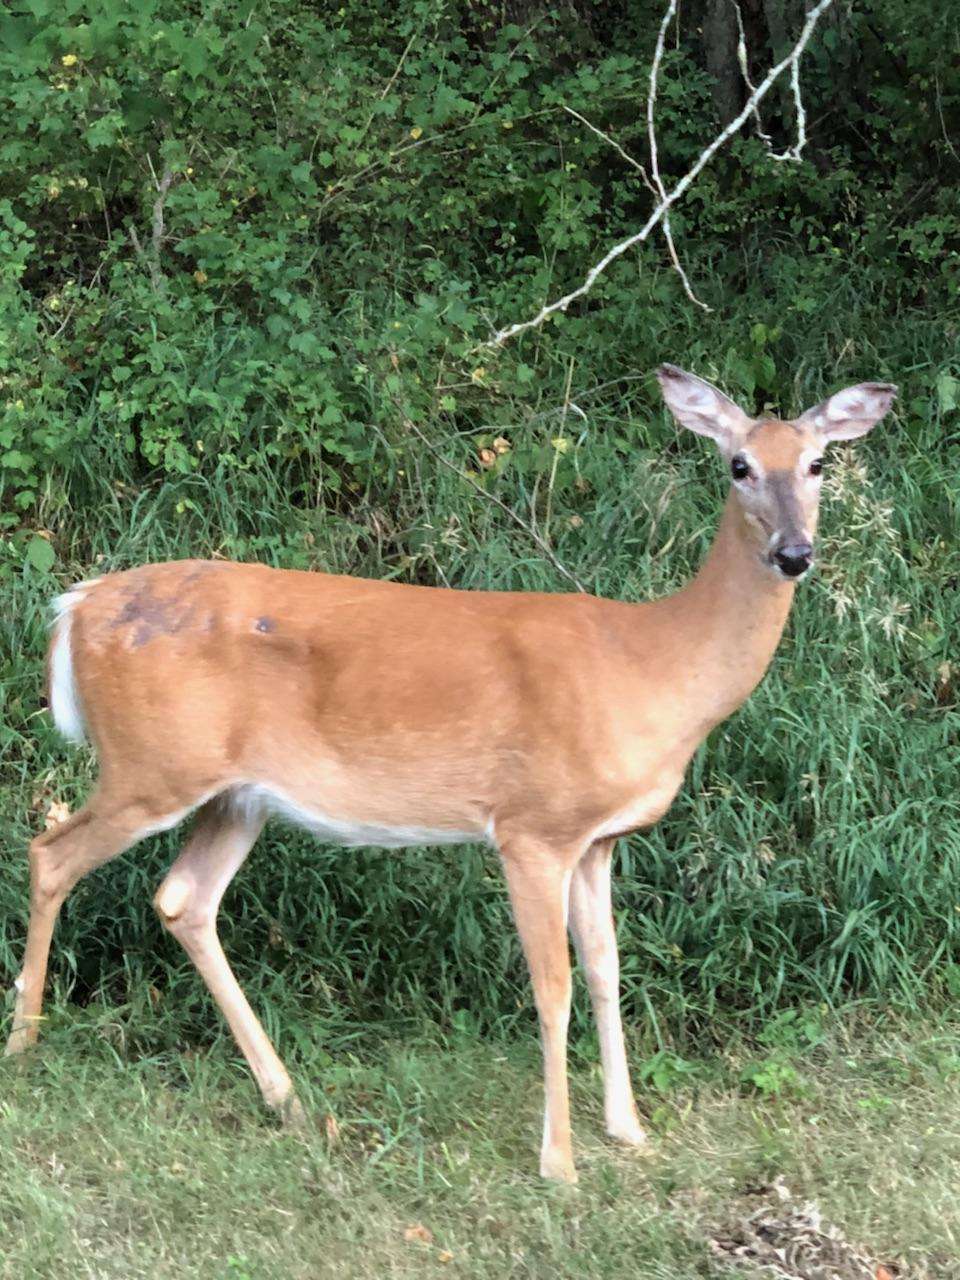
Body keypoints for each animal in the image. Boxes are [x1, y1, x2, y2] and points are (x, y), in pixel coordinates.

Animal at [3, 368, 901, 1177]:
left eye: (818, 463)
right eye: (739, 465)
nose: (795, 553)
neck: (651, 665)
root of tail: (75, 606)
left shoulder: (599, 839)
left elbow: (608, 970)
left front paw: (629, 1130)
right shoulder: (533, 827)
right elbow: (553, 985)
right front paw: (559, 1162)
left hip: (234, 794)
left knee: (183, 898)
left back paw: (286, 1097)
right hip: (149, 765)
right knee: (50, 853)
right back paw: (24, 1045)